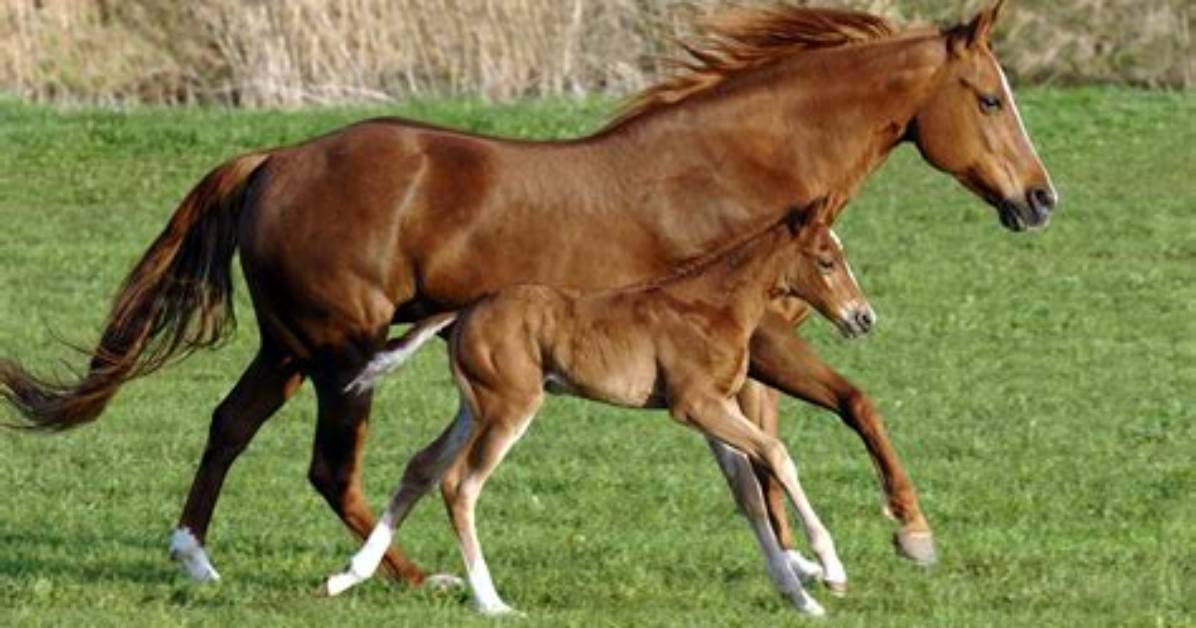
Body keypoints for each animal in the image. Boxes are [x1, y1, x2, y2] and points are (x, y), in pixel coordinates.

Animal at [322, 200, 869, 616]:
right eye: (826, 260)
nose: (863, 318)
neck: (714, 306)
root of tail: (465, 311)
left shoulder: (716, 413)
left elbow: (749, 494)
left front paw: (802, 599)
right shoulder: (695, 405)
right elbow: (777, 453)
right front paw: (832, 570)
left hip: (473, 407)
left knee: (423, 467)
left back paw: (347, 575)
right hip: (510, 406)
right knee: (460, 484)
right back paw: (491, 602)